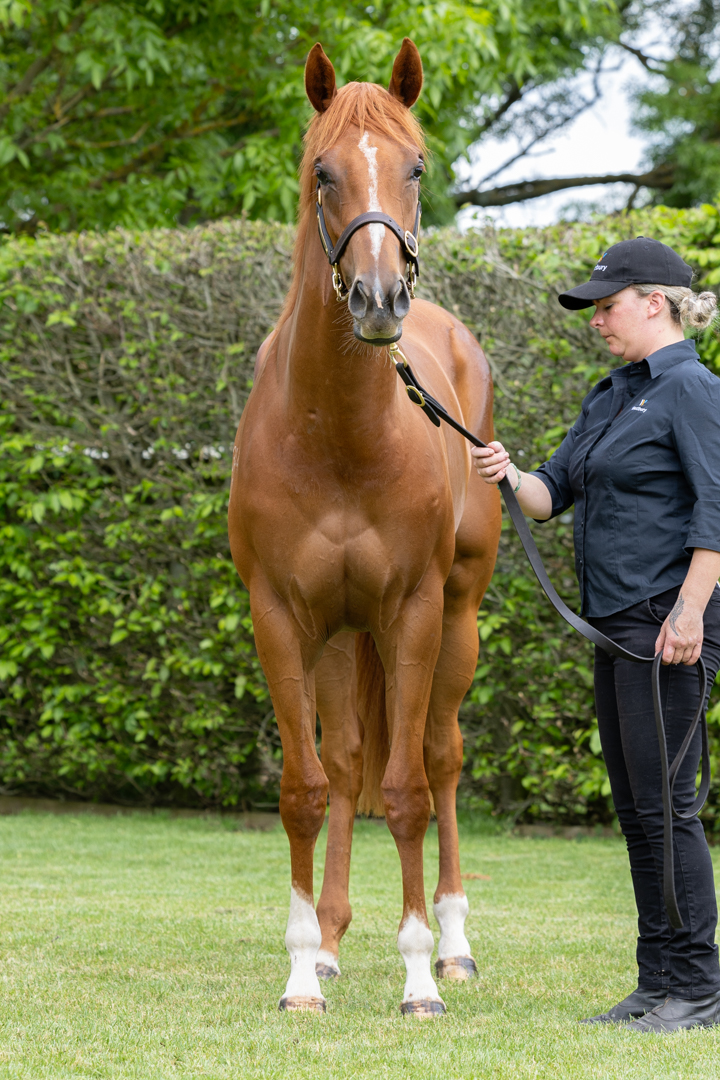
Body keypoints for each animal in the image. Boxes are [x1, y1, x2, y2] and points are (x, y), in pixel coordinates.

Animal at [228, 38, 501, 1017]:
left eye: (415, 166)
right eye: (323, 171)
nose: (380, 298)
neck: (343, 433)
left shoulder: (412, 611)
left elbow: (409, 790)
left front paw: (420, 976)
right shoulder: (282, 617)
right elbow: (309, 790)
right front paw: (302, 969)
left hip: (455, 618)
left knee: (441, 758)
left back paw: (455, 945)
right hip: (342, 640)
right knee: (346, 764)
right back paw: (335, 942)